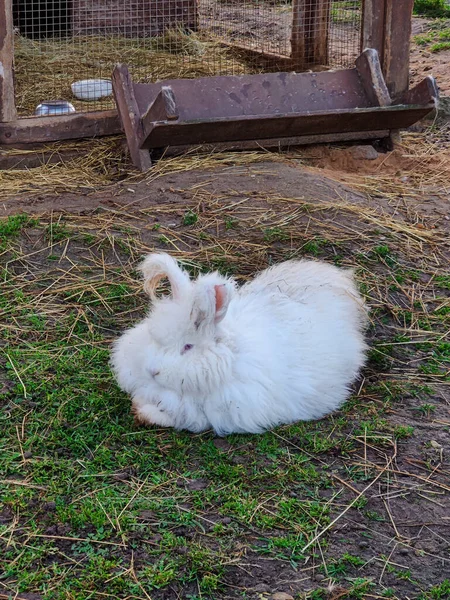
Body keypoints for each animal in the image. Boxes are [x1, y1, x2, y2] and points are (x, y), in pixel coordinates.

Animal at [110, 253, 368, 436]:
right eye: (152, 337)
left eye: (188, 347)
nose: (152, 371)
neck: (230, 358)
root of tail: (340, 280)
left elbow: (183, 418)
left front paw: (144, 413)